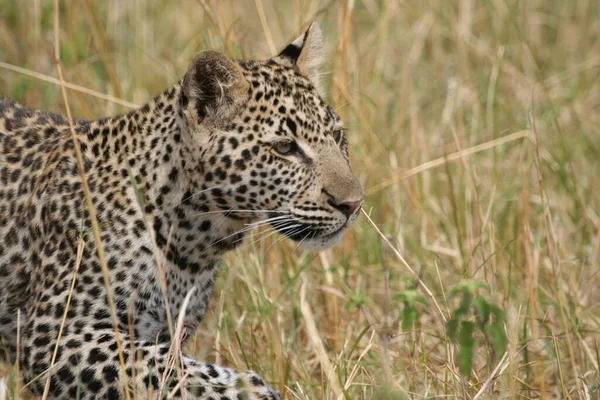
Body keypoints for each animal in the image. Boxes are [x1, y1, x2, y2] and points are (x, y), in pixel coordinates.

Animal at [0, 23, 360, 398]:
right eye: (285, 148)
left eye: (337, 136)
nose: (353, 203)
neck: (195, 242)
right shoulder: (55, 337)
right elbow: (178, 373)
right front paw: (257, 390)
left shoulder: (165, 331)